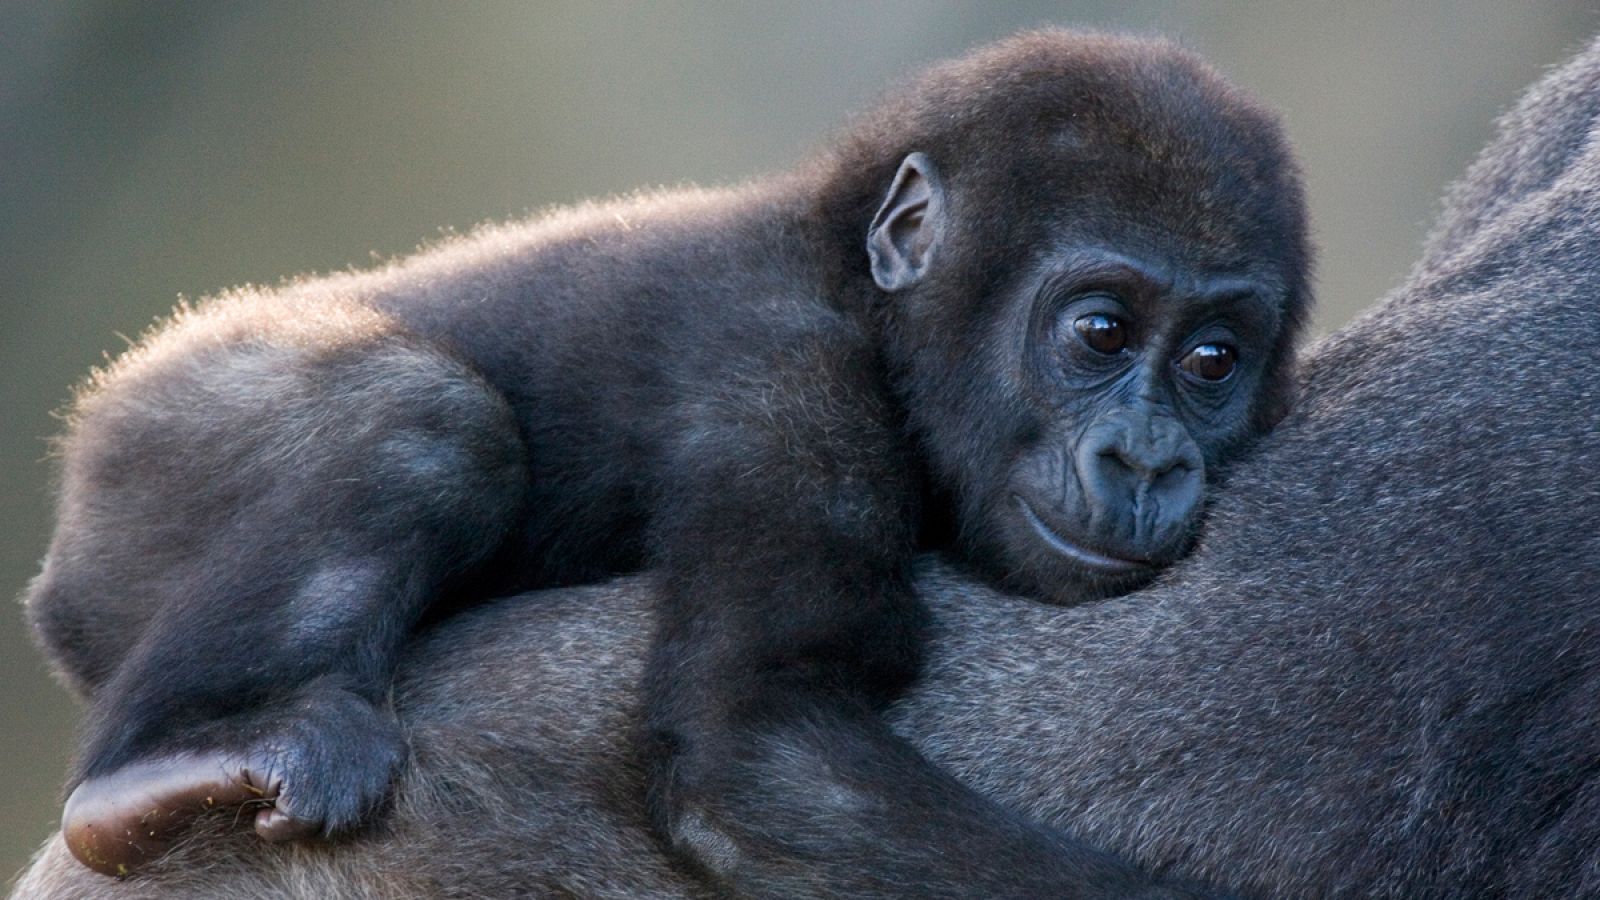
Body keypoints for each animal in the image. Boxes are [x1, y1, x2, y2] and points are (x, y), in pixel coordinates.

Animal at [15, 31, 1600, 900]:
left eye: (1212, 363)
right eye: (1099, 332)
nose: (1146, 457)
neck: (860, 276)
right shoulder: (785, 373)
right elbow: (755, 739)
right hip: (153, 442)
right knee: (420, 425)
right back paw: (173, 760)